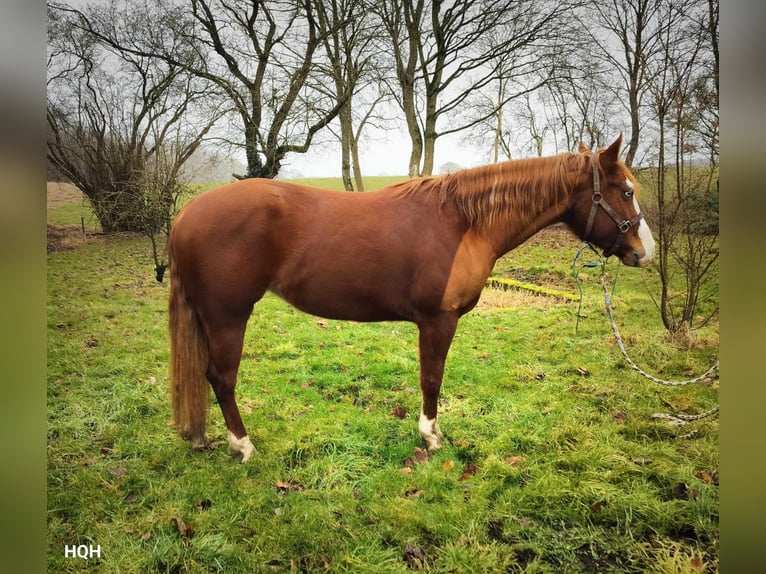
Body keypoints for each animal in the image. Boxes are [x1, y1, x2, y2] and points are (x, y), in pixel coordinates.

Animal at [166, 134, 656, 464]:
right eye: (627, 191)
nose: (644, 251)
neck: (464, 221)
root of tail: (186, 214)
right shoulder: (438, 320)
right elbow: (431, 380)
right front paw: (431, 437)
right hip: (228, 316)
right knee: (221, 378)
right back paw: (243, 445)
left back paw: (202, 437)